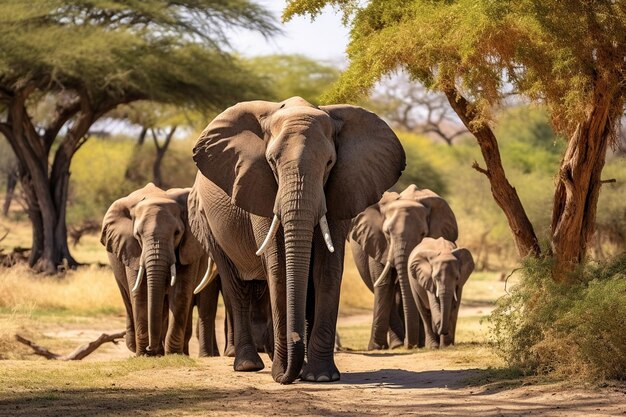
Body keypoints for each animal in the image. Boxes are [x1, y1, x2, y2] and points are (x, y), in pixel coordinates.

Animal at [188, 97, 402, 384]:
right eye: (271, 161)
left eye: (329, 163)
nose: (287, 375)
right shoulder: (259, 187)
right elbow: (278, 269)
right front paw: (282, 372)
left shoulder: (341, 188)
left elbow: (327, 269)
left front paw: (321, 376)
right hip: (210, 227)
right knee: (236, 286)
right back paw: (248, 365)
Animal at [348, 184, 456, 350]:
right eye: (387, 233)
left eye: (423, 234)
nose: (409, 344)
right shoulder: (377, 242)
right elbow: (384, 285)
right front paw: (377, 348)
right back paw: (396, 344)